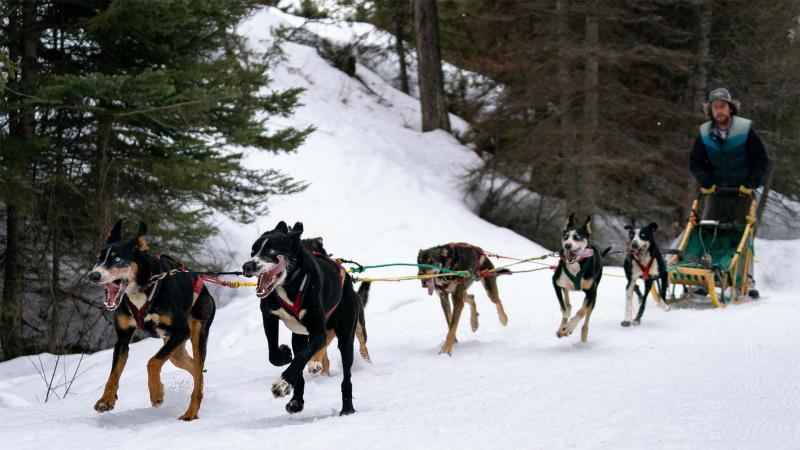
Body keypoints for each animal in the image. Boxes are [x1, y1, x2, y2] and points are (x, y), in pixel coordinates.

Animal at [88, 219, 216, 422]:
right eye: (99, 259)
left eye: (117, 260)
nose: (93, 275)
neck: (141, 290)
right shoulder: (123, 339)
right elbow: (113, 374)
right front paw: (106, 400)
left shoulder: (181, 331)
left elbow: (152, 362)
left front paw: (156, 393)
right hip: (175, 351)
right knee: (196, 370)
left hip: (196, 333)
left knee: (197, 368)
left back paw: (191, 412)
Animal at [241, 221, 360, 414]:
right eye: (253, 251)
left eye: (271, 251)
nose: (247, 266)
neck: (290, 285)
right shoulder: (269, 316)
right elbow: (274, 354)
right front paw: (284, 355)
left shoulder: (319, 334)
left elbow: (303, 356)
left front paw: (283, 383)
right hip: (299, 336)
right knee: (300, 361)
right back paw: (296, 401)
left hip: (345, 338)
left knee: (346, 377)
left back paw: (347, 408)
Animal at [302, 236, 374, 376]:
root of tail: (356, 295)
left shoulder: (329, 330)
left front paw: (314, 363)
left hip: (359, 326)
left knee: (363, 345)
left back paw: (367, 362)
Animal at [552, 214, 608, 344]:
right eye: (566, 236)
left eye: (577, 237)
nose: (567, 245)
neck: (575, 265)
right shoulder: (556, 283)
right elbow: (564, 308)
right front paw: (564, 325)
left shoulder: (591, 292)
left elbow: (581, 311)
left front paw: (569, 327)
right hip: (565, 285)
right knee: (567, 300)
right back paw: (562, 326)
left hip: (594, 297)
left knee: (586, 316)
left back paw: (582, 335)